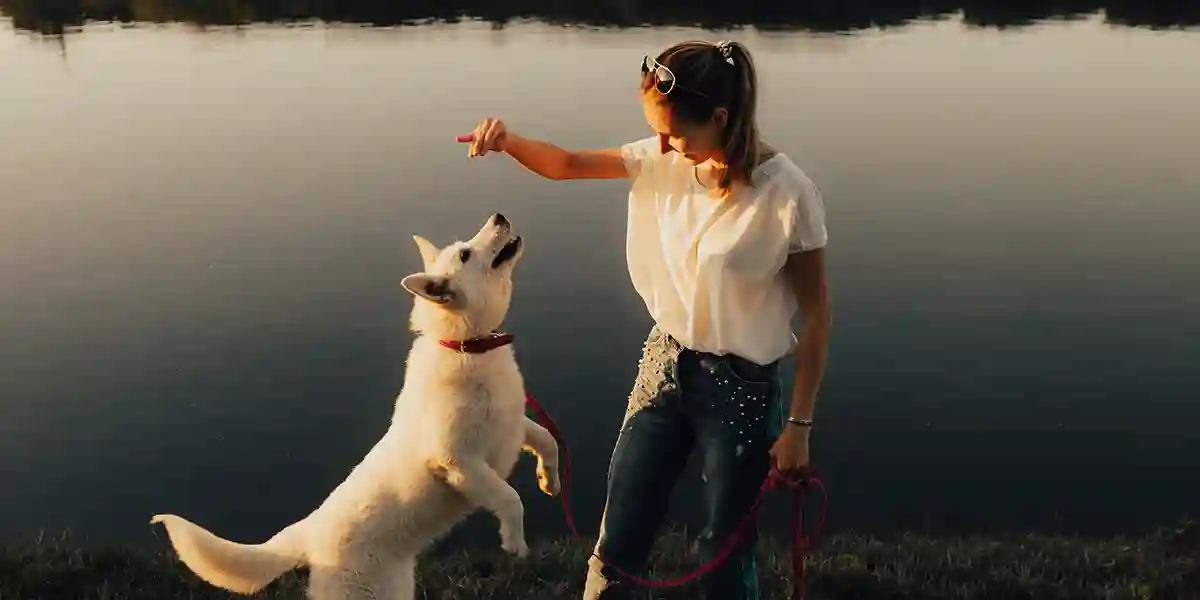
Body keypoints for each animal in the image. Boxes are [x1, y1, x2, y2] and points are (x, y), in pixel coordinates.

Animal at [152, 214, 559, 600]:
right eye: (465, 254)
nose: (499, 216)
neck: (466, 346)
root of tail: (309, 533)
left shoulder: (514, 425)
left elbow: (549, 441)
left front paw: (549, 480)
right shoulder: (457, 460)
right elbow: (510, 498)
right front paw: (515, 541)